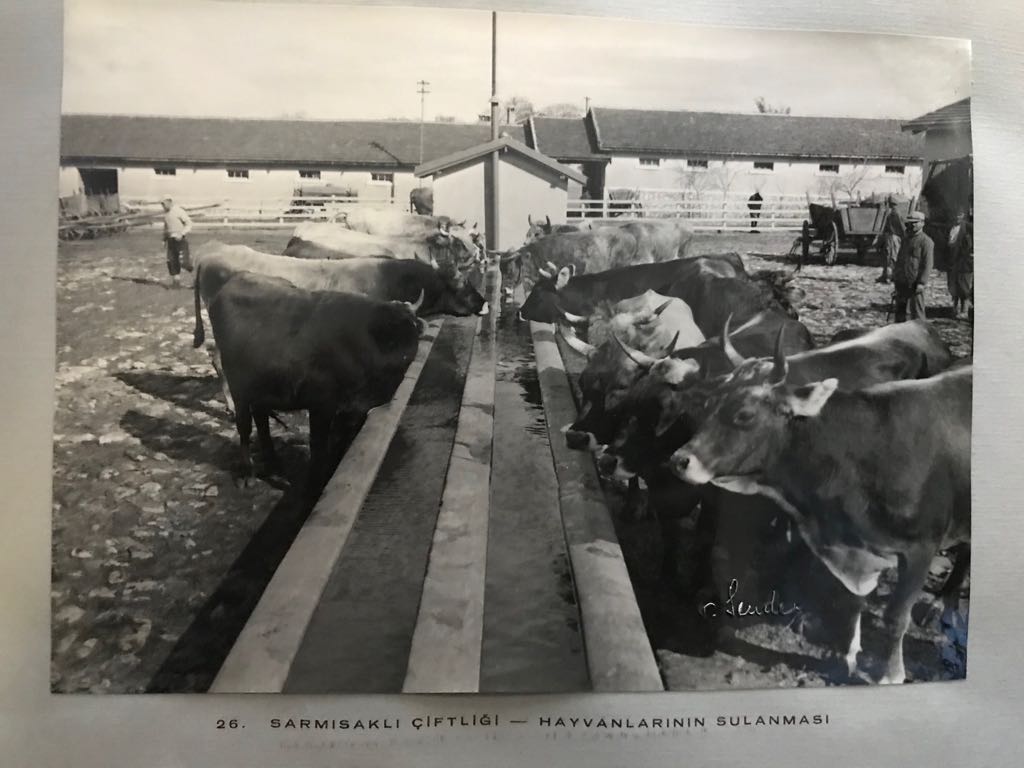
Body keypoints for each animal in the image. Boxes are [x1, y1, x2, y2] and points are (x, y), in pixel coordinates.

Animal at [206, 271, 424, 494]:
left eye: (413, 332)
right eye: (394, 335)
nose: (405, 356)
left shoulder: (351, 411)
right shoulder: (322, 405)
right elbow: (318, 447)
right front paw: (313, 486)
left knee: (262, 421)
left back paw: (275, 468)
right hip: (238, 386)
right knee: (244, 426)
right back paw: (247, 472)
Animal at [670, 358, 971, 685]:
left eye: (744, 414)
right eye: (709, 405)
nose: (679, 460)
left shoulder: (921, 547)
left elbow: (895, 617)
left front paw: (890, 674)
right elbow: (852, 601)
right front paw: (848, 655)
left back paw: (942, 602)